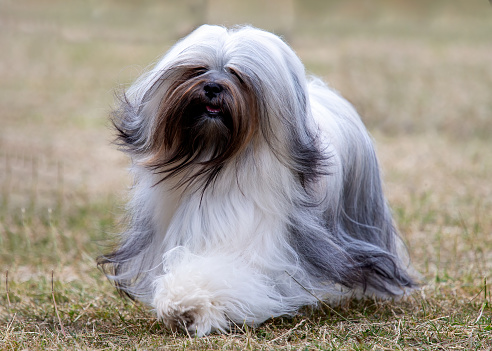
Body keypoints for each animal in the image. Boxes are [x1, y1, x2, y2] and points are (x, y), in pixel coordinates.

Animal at [99, 25, 416, 338]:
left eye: (237, 75)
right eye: (199, 70)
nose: (212, 87)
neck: (216, 163)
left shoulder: (261, 249)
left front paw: (188, 301)